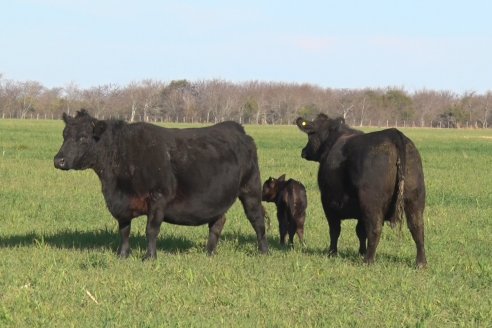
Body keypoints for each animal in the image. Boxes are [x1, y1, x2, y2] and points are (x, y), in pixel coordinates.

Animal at [54, 109, 270, 258]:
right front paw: (122, 255)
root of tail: (237, 129)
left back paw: (264, 251)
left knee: (257, 219)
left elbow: (151, 229)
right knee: (217, 223)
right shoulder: (121, 204)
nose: (59, 160)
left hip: (251, 188)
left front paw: (149, 257)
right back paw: (209, 253)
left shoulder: (158, 198)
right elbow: (124, 230)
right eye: (64, 135)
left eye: (83, 137)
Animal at [296, 114, 426, 268]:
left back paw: (368, 260)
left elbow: (335, 230)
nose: (303, 151)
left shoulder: (328, 203)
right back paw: (421, 263)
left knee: (375, 229)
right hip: (414, 198)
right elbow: (360, 231)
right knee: (417, 228)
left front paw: (332, 252)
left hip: (371, 202)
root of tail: (394, 134)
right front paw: (361, 251)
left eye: (310, 134)